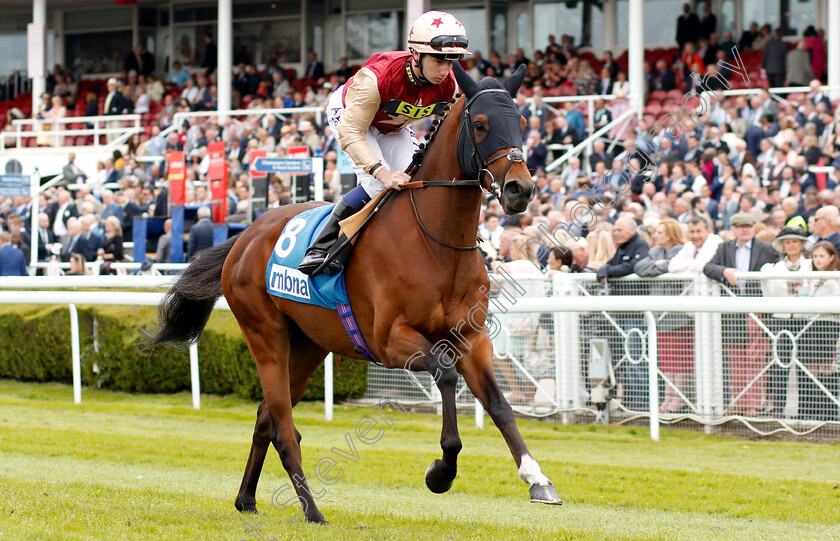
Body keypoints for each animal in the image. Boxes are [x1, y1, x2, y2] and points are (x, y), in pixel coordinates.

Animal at [148, 64, 560, 524]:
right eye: (482, 124)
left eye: (521, 123)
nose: (520, 189)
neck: (437, 242)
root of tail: (245, 236)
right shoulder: (391, 341)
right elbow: (445, 373)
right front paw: (441, 472)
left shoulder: (472, 337)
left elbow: (499, 403)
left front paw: (537, 479)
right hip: (265, 336)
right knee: (283, 427)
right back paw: (312, 511)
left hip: (308, 344)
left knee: (265, 417)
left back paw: (247, 499)